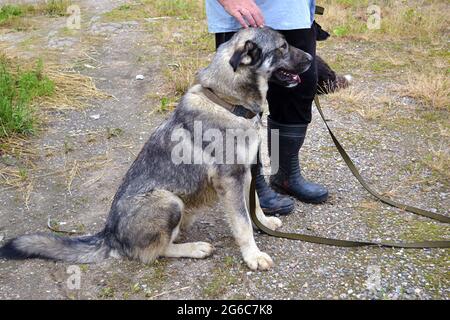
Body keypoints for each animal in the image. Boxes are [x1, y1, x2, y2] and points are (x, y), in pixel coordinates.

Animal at [0, 28, 312, 272]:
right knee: (153, 252)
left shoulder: (245, 174)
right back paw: (195, 248)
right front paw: (253, 256)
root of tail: (109, 235)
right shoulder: (231, 180)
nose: (311, 59)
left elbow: (253, 206)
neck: (227, 101)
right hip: (168, 201)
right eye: (283, 47)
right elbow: (242, 223)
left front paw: (265, 222)